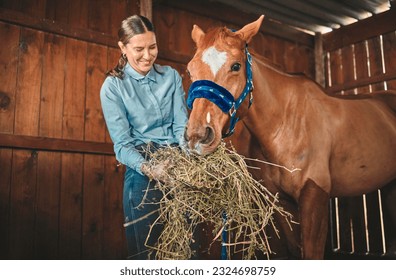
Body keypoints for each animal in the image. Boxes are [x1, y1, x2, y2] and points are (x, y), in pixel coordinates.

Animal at [184, 15, 396, 260]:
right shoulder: (283, 202)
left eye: (235, 66)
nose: (198, 135)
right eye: (190, 70)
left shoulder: (314, 197)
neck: (287, 123)